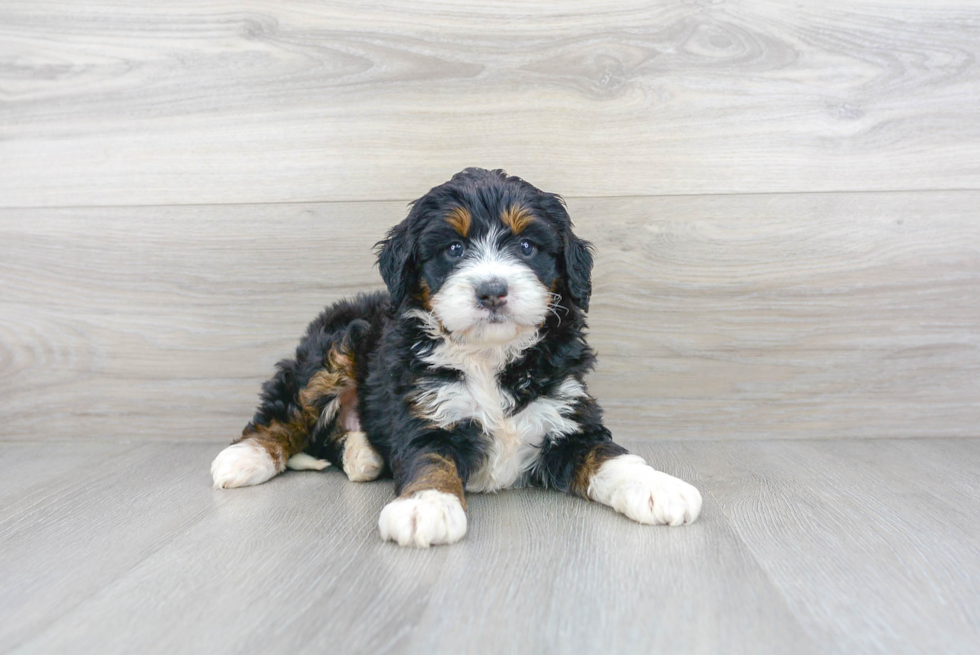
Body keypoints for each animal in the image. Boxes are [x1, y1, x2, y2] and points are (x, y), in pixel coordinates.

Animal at [211, 168, 700, 548]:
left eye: (526, 247)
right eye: (453, 249)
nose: (492, 290)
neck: (489, 353)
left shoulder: (568, 416)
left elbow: (608, 455)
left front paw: (658, 487)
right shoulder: (426, 417)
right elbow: (431, 462)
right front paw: (425, 507)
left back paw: (362, 454)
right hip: (334, 348)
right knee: (287, 412)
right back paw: (244, 458)